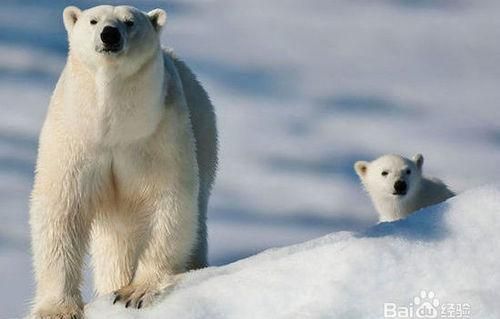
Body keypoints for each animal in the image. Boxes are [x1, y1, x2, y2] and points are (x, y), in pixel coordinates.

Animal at [28, 5, 217, 319]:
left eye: (129, 22)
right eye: (93, 20)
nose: (109, 34)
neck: (114, 127)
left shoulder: (157, 134)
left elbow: (168, 202)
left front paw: (136, 292)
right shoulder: (75, 135)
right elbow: (62, 209)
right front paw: (57, 310)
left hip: (204, 136)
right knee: (115, 242)